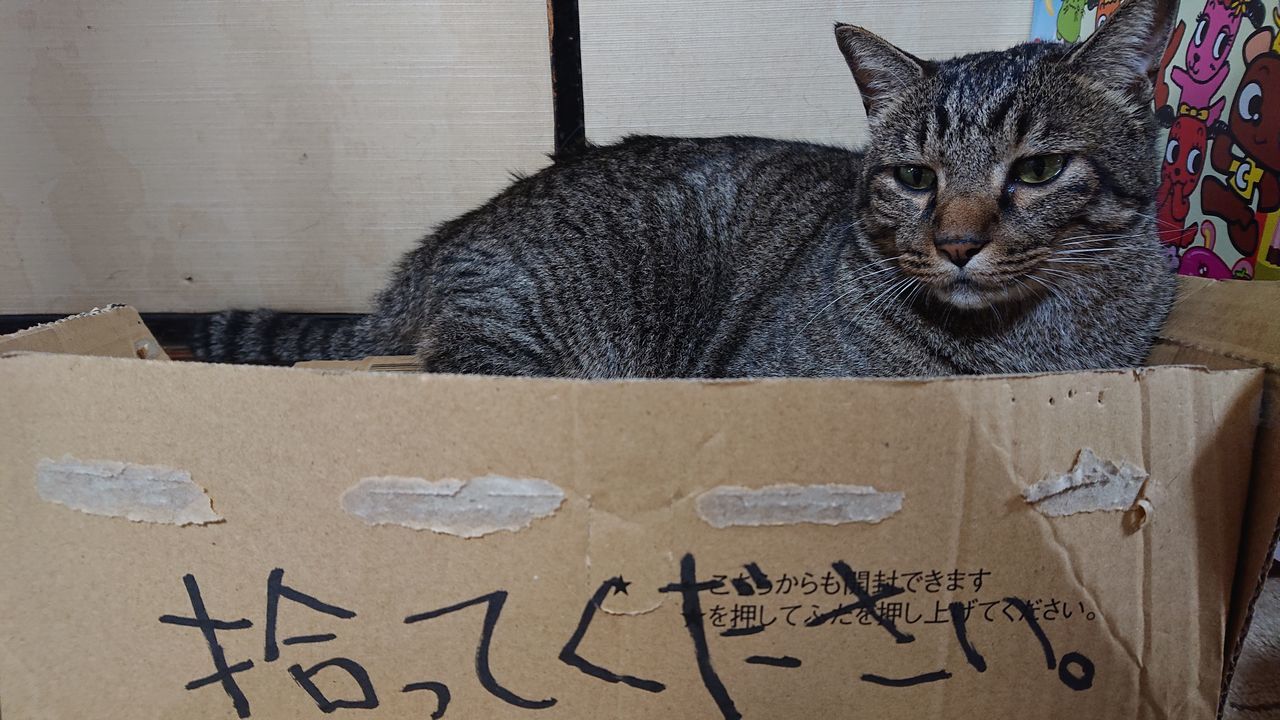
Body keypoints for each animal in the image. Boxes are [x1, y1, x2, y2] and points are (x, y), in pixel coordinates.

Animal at [192, 0, 1177, 379]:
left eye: (1038, 170)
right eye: (913, 177)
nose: (958, 243)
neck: (1012, 352)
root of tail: (446, 238)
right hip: (519, 341)